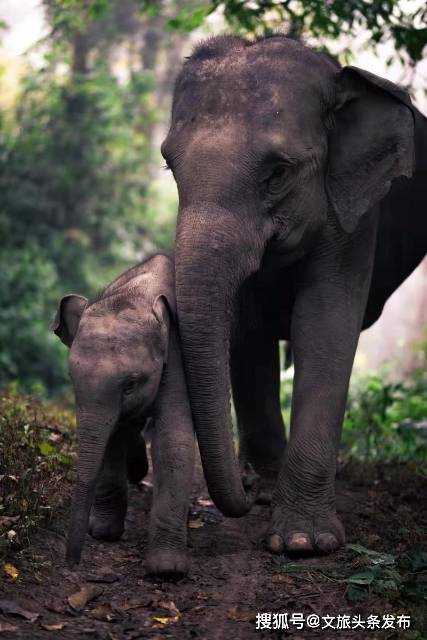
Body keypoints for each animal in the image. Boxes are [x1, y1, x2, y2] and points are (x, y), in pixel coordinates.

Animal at [51, 254, 196, 576]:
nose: (71, 565)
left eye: (130, 384)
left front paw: (166, 570)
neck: (135, 296)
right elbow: (111, 436)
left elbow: (174, 439)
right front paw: (103, 533)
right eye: (71, 380)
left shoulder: (176, 355)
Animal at [161, 36, 427, 556]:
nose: (243, 495)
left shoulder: (355, 211)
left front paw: (303, 543)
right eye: (168, 165)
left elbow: (322, 324)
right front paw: (266, 495)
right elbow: (248, 328)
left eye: (277, 172)